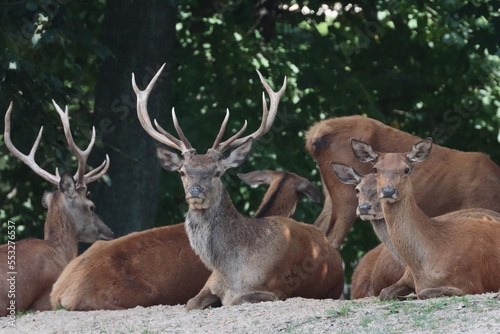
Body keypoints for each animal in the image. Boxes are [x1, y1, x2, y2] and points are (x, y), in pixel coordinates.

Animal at [131, 64, 346, 310]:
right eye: (183, 172)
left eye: (217, 172)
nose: (195, 191)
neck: (230, 270)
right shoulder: (209, 283)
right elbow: (190, 303)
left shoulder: (276, 289)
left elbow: (236, 300)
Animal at [350, 137, 500, 298]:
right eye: (375, 169)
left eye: (406, 169)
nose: (388, 191)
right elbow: (386, 293)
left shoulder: (470, 284)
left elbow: (423, 293)